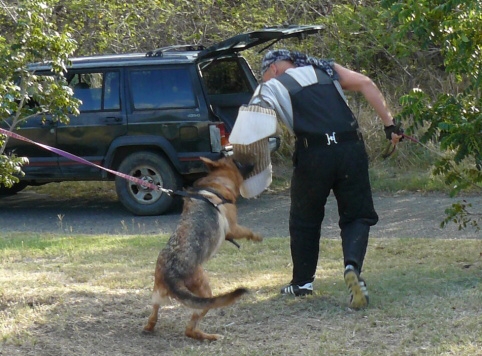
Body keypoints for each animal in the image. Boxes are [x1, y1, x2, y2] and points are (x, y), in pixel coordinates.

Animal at [143, 157, 264, 340]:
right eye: (236, 160)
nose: (252, 161)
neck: (215, 183)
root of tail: (171, 275)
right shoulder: (233, 228)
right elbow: (247, 231)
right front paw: (257, 237)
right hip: (206, 294)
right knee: (190, 329)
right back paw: (209, 336)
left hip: (156, 296)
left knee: (153, 317)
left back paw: (149, 327)